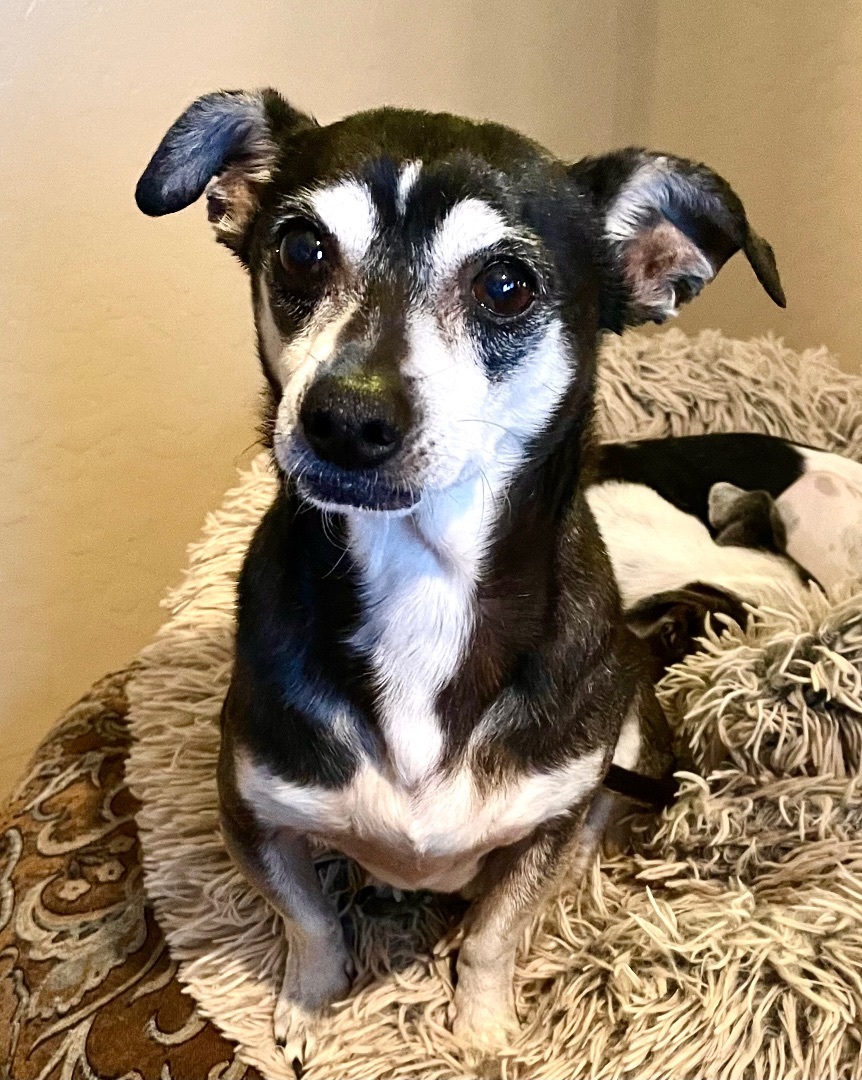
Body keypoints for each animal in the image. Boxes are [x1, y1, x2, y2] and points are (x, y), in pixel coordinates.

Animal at [135, 88, 790, 1067]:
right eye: (300, 249)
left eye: (506, 285)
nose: (346, 419)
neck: (423, 578)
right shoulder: (249, 807)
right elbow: (310, 920)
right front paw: (309, 1005)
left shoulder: (545, 818)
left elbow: (495, 931)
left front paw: (480, 1028)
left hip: (627, 731)